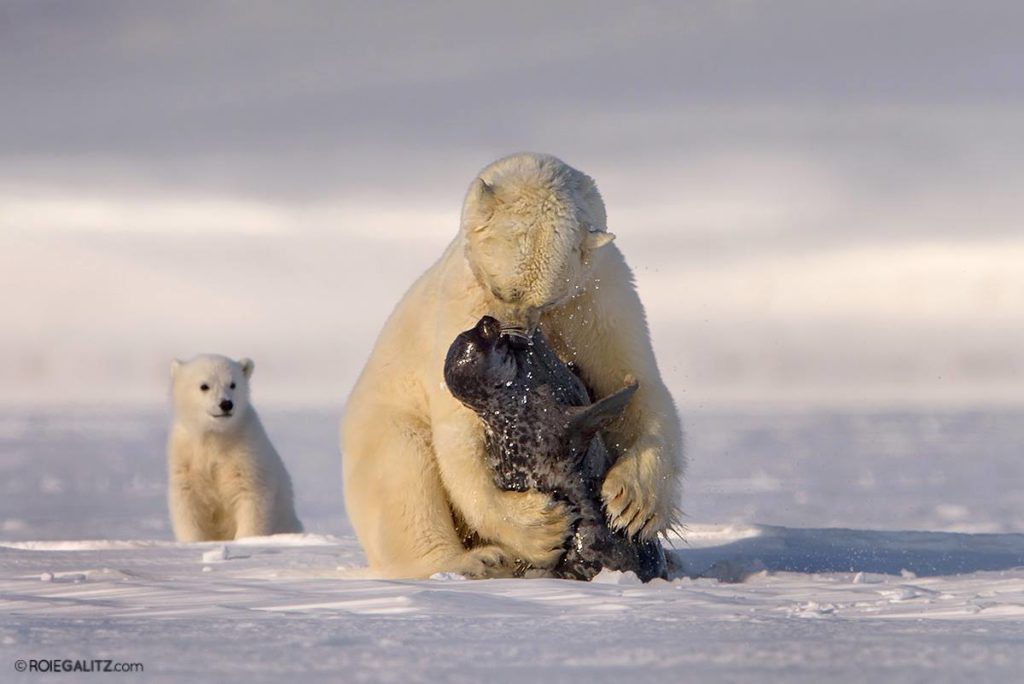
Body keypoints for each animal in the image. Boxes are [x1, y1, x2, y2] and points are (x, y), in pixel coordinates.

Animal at [167, 354, 303, 542]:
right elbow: (187, 503)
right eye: (204, 386)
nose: (226, 404)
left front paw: (246, 540)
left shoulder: (246, 452)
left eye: (233, 384)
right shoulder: (186, 456)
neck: (216, 436)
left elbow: (251, 497)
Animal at [341, 152, 684, 579]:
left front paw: (633, 503)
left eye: (546, 299)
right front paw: (541, 527)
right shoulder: (462, 304)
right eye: (501, 289)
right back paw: (477, 559)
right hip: (381, 422)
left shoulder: (599, 296)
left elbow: (638, 384)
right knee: (403, 476)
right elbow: (460, 438)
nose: (512, 334)